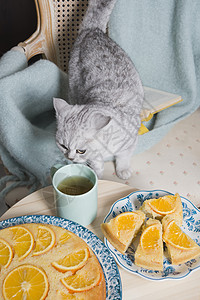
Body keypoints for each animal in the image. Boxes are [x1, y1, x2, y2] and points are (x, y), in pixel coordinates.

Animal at [53, 0, 144, 179]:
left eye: (81, 150)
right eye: (63, 146)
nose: (70, 158)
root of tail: (92, 30)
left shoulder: (130, 141)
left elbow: (124, 156)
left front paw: (123, 169)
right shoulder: (95, 157)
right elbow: (96, 164)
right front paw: (97, 175)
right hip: (73, 88)